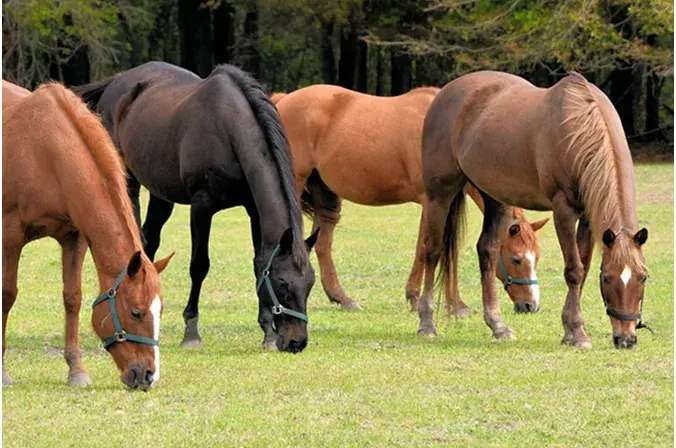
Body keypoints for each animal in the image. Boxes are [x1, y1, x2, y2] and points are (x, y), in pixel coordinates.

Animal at [3, 82, 173, 389]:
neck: (44, 152)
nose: (148, 376)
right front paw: (2, 372)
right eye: (136, 312)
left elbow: (73, 298)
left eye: (160, 311)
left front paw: (77, 370)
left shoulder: (75, 237)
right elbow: (7, 295)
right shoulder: (11, 235)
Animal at [73, 61, 318, 353]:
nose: (296, 342)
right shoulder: (202, 206)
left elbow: (258, 261)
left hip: (160, 194)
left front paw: (267, 332)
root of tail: (117, 82)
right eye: (282, 284)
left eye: (310, 283)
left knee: (149, 241)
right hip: (128, 179)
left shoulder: (253, 209)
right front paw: (191, 332)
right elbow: (199, 265)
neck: (228, 131)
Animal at [273, 85, 548, 316]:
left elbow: (449, 251)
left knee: (323, 245)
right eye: (517, 259)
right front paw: (420, 299)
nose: (531, 305)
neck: (454, 131)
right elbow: (427, 248)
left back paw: (342, 298)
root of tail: (284, 99)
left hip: (325, 195)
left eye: (537, 257)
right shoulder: (431, 201)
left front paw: (455, 304)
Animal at [420, 71, 648, 349]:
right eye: (607, 278)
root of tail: (445, 93)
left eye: (643, 277)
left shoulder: (587, 217)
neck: (580, 126)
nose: (626, 338)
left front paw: (570, 331)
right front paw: (577, 332)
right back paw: (426, 322)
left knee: (487, 251)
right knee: (432, 251)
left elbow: (583, 268)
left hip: (496, 199)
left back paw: (497, 325)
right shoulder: (563, 211)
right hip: (439, 194)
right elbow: (574, 270)